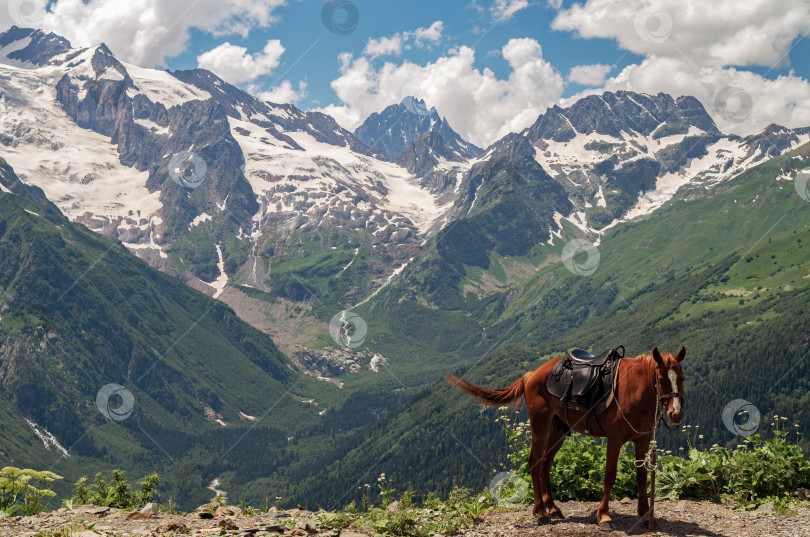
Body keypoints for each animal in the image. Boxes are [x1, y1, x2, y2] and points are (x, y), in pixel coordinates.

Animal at [448, 348, 680, 528]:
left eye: (682, 378)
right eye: (661, 379)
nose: (676, 414)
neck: (632, 388)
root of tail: (531, 374)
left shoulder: (642, 440)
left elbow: (642, 477)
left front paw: (645, 517)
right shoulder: (614, 440)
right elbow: (609, 476)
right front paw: (604, 516)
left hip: (558, 431)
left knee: (545, 465)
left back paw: (552, 508)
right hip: (540, 426)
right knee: (534, 462)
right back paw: (541, 512)